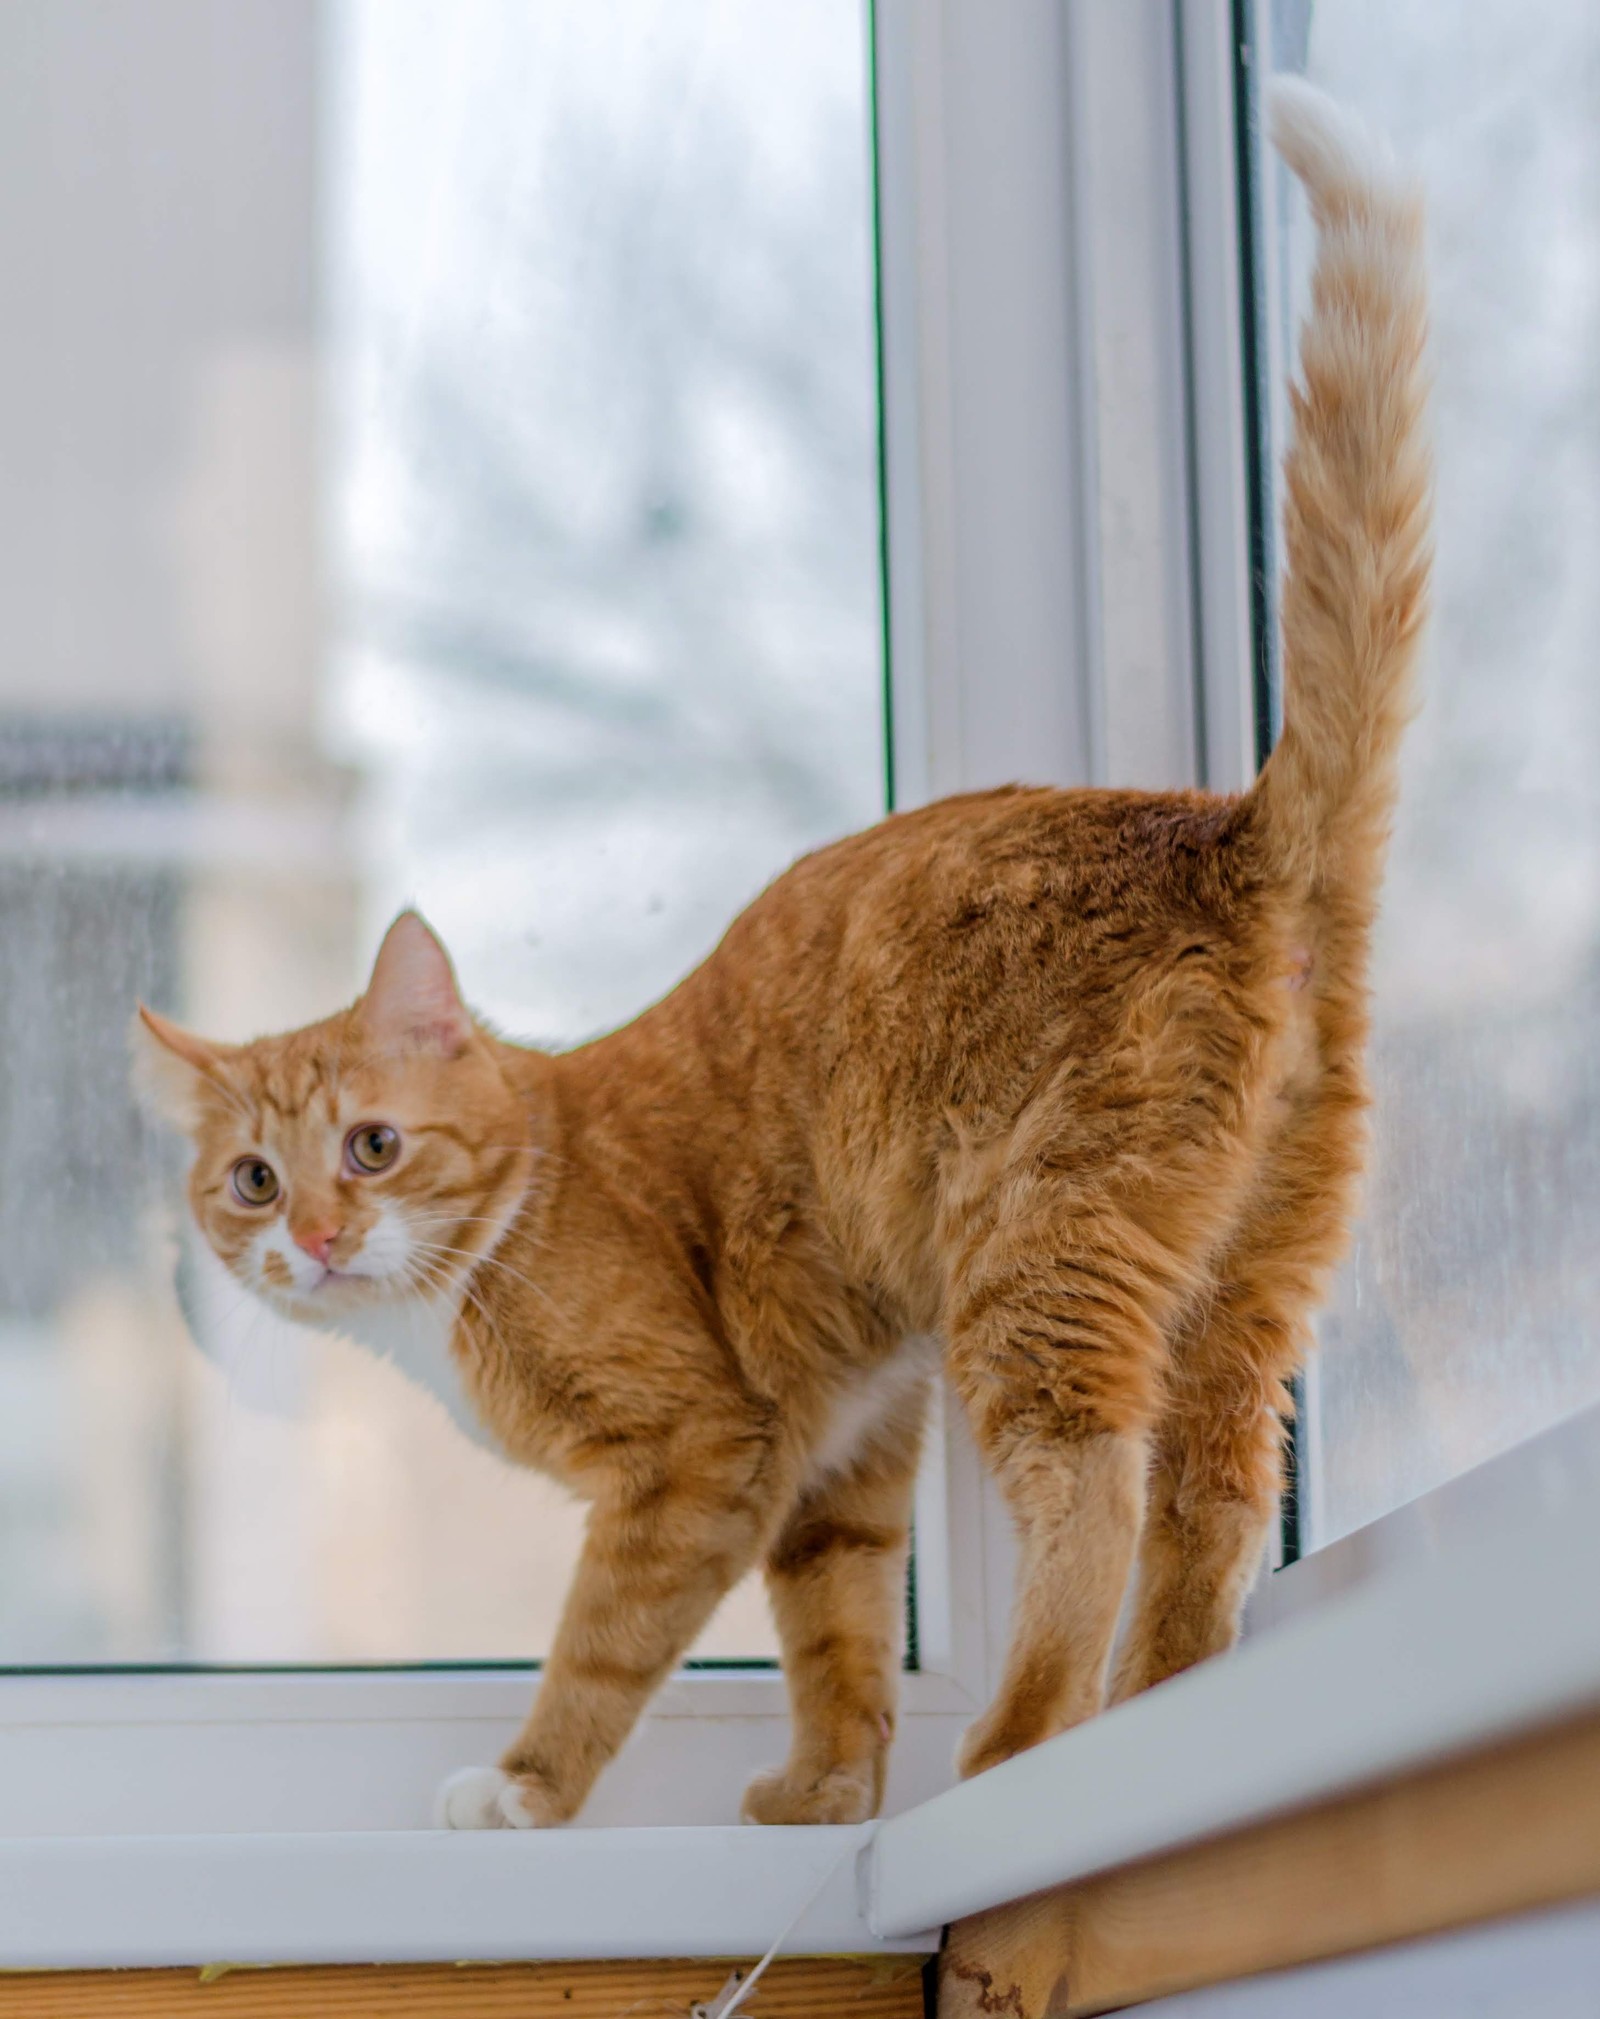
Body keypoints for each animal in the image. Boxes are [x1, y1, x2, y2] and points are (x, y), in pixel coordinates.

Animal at [134, 86, 1422, 1833]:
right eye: (255, 1180)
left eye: (375, 1146)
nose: (321, 1236)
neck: (517, 1209)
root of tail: (1214, 821)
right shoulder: (842, 1447)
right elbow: (837, 1623)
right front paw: (827, 1787)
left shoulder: (698, 1451)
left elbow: (601, 1645)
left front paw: (525, 1789)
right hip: (1252, 1274)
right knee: (1212, 1493)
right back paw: (1156, 1705)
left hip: (1040, 1262)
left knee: (1092, 1486)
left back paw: (1024, 1736)